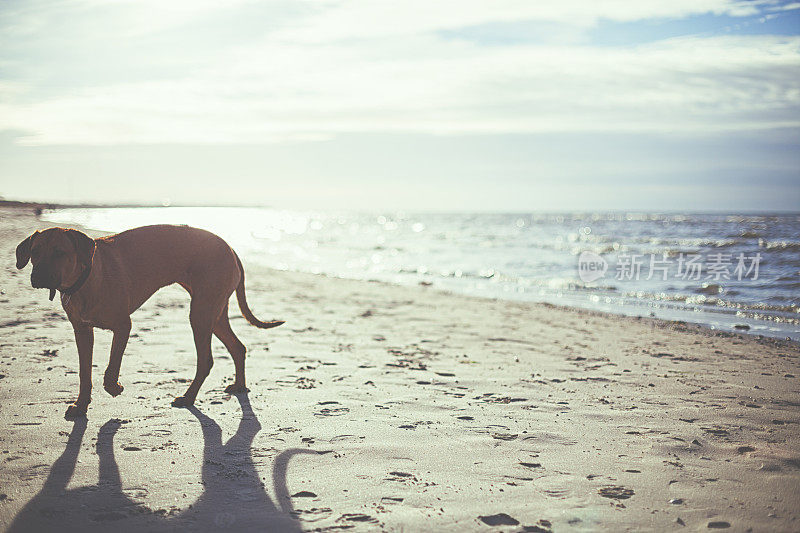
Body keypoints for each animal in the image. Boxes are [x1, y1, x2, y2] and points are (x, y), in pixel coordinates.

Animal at [14, 223, 284, 416]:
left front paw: (114, 387)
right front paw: (81, 406)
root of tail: (229, 247)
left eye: (60, 253)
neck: (87, 278)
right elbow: (84, 373)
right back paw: (239, 386)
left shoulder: (123, 325)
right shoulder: (82, 330)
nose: (38, 277)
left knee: (206, 360)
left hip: (201, 312)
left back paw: (188, 397)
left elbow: (111, 367)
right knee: (238, 347)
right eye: (35, 252)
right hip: (213, 312)